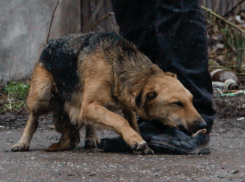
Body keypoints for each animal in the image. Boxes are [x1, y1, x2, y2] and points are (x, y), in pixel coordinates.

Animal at [11, 32, 207, 154]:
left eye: (191, 100)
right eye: (176, 103)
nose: (203, 125)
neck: (116, 65)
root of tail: (50, 43)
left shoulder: (124, 105)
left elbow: (131, 123)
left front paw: (136, 139)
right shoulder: (89, 106)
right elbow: (119, 120)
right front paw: (136, 141)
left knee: (87, 123)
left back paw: (91, 137)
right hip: (41, 95)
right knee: (33, 120)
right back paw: (22, 142)